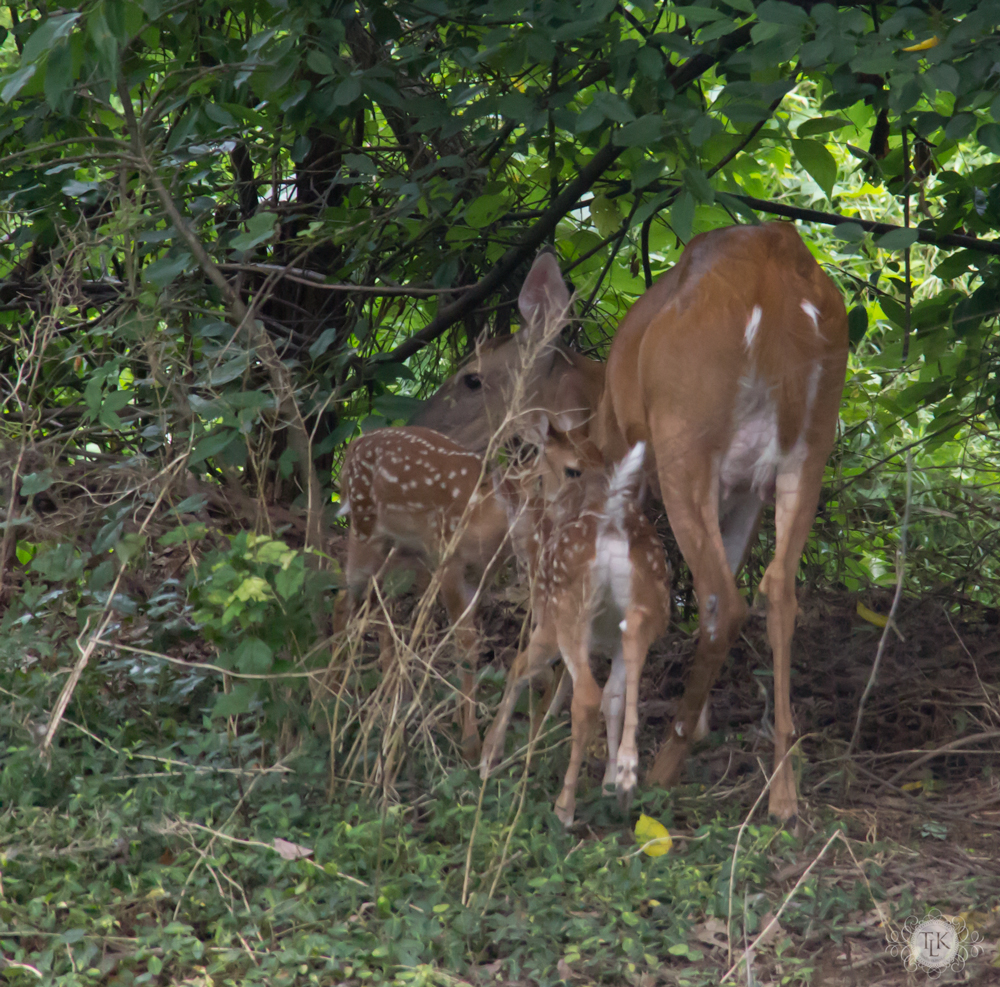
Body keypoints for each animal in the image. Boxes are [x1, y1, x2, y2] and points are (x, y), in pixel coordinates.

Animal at [332, 422, 588, 756]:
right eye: (573, 469)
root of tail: (353, 446)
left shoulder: (481, 573)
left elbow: (466, 641)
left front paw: (459, 720)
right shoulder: (448, 560)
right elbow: (467, 645)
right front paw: (470, 742)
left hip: (399, 548)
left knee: (377, 601)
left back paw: (388, 691)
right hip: (365, 529)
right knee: (345, 599)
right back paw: (329, 694)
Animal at [478, 442, 672, 824]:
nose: (512, 555)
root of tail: (611, 524)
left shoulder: (546, 623)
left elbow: (518, 669)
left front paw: (490, 755)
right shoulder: (605, 641)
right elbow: (614, 698)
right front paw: (611, 781)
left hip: (568, 609)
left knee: (586, 696)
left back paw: (564, 806)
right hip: (649, 603)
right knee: (629, 648)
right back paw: (626, 778)